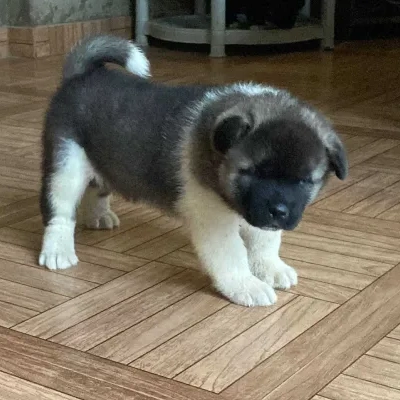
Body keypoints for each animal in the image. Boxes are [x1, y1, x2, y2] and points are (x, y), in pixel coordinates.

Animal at [39, 36, 346, 308]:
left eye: (304, 181)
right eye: (251, 172)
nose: (279, 211)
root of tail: (80, 76)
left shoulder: (259, 215)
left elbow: (265, 240)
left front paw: (270, 267)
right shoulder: (214, 219)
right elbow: (231, 254)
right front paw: (245, 284)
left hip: (100, 159)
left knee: (96, 186)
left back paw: (98, 216)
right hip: (67, 166)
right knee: (61, 211)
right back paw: (58, 249)